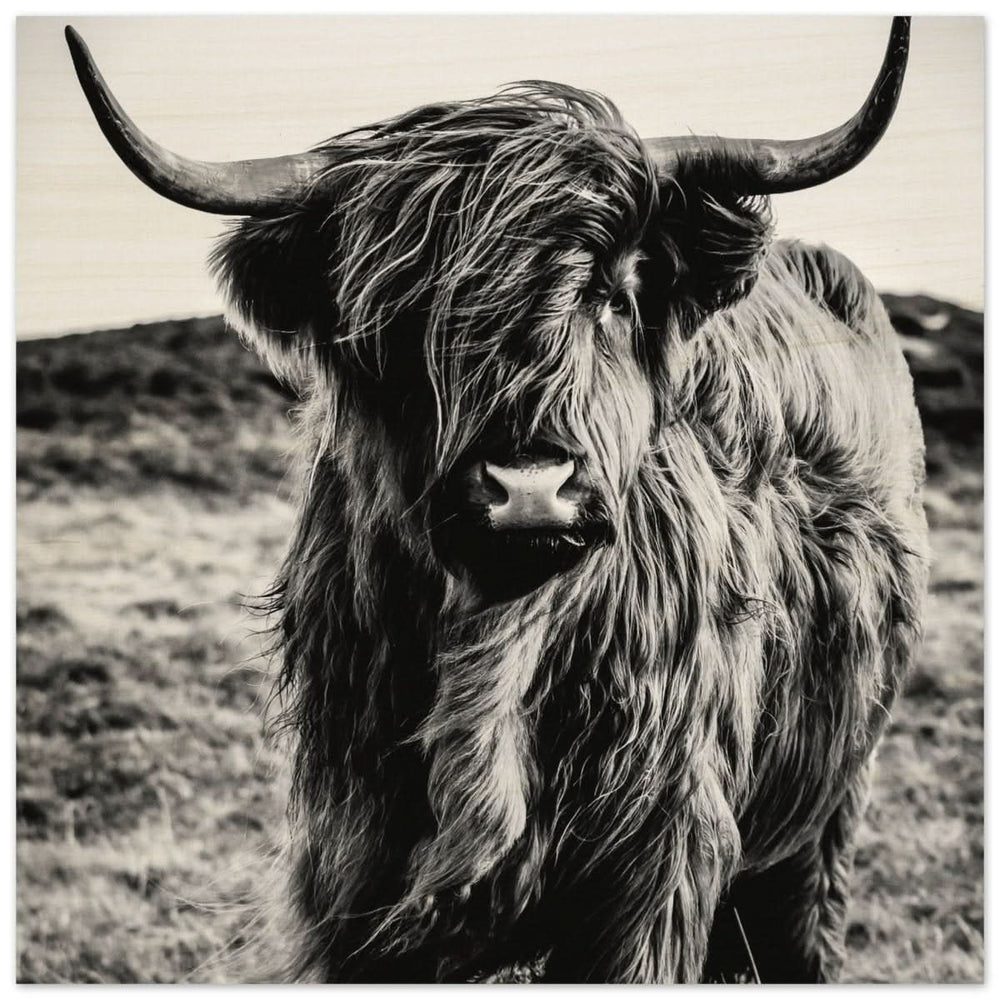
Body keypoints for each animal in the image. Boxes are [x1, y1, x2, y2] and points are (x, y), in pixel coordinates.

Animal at [66, 18, 929, 984]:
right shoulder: (354, 866)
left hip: (827, 812)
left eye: (612, 294)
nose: (529, 490)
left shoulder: (654, 867)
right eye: (400, 318)